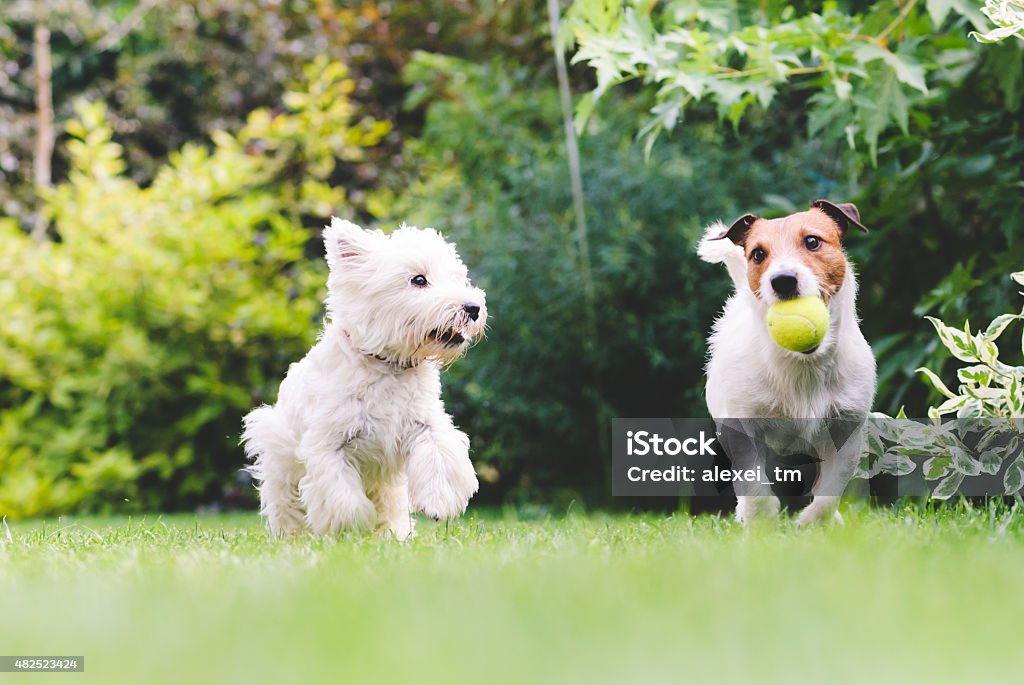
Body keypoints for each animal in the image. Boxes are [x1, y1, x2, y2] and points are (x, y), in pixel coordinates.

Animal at [245, 216, 489, 536]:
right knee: (286, 505)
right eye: (419, 279)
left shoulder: (424, 424)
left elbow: (439, 454)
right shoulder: (329, 444)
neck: (388, 365)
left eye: (458, 277)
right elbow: (344, 499)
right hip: (280, 458)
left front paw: (439, 503)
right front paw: (352, 528)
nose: (473, 308)